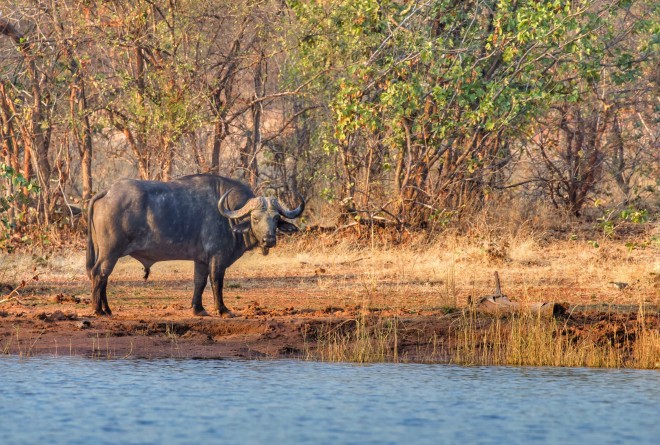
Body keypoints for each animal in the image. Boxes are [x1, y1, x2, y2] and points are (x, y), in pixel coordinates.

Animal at [86, 174, 304, 316]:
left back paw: (107, 309)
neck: (228, 217)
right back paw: (98, 311)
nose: (269, 240)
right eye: (255, 218)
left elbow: (199, 282)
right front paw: (222, 310)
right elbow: (216, 282)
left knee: (103, 277)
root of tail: (108, 191)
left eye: (275, 218)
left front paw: (198, 309)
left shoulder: (201, 260)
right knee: (99, 274)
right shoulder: (217, 257)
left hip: (107, 252)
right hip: (110, 252)